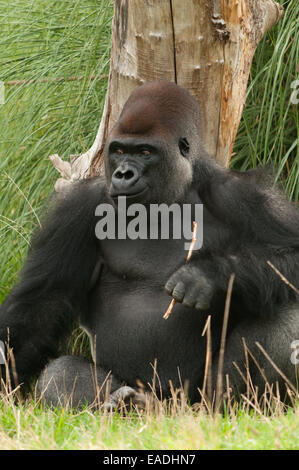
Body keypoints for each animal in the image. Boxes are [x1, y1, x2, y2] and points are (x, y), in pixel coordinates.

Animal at [0, 81, 299, 408]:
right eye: (118, 150)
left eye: (144, 152)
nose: (123, 174)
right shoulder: (78, 206)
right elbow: (43, 304)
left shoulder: (244, 195)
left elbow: (292, 252)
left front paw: (207, 275)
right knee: (60, 373)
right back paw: (125, 401)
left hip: (195, 399)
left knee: (285, 315)